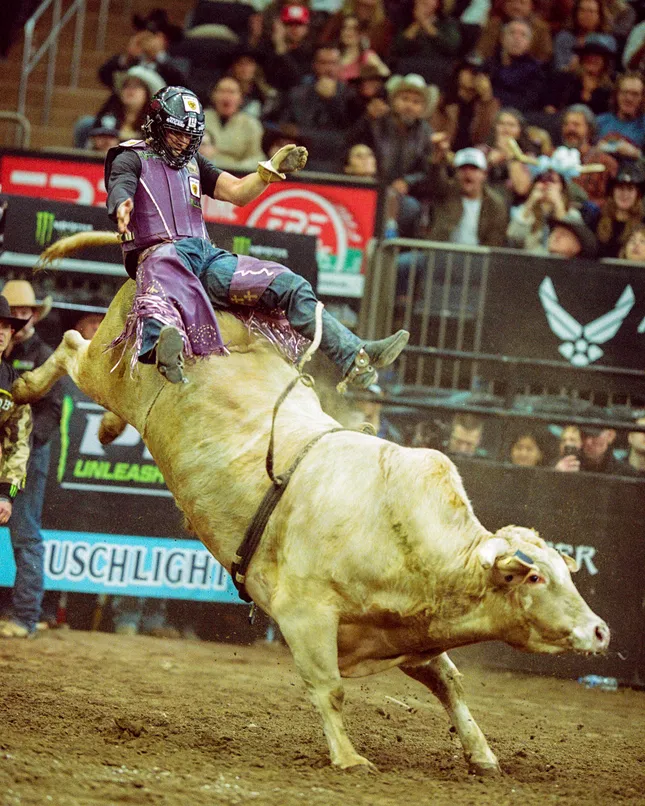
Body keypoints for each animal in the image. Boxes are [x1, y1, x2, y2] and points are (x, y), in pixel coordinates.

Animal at [12, 271, 609, 775]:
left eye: (568, 572)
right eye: (537, 577)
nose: (601, 630)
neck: (401, 536)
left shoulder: (407, 635)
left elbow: (450, 683)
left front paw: (482, 755)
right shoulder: (305, 615)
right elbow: (330, 688)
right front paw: (348, 758)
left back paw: (107, 430)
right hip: (104, 370)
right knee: (71, 343)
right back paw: (24, 389)